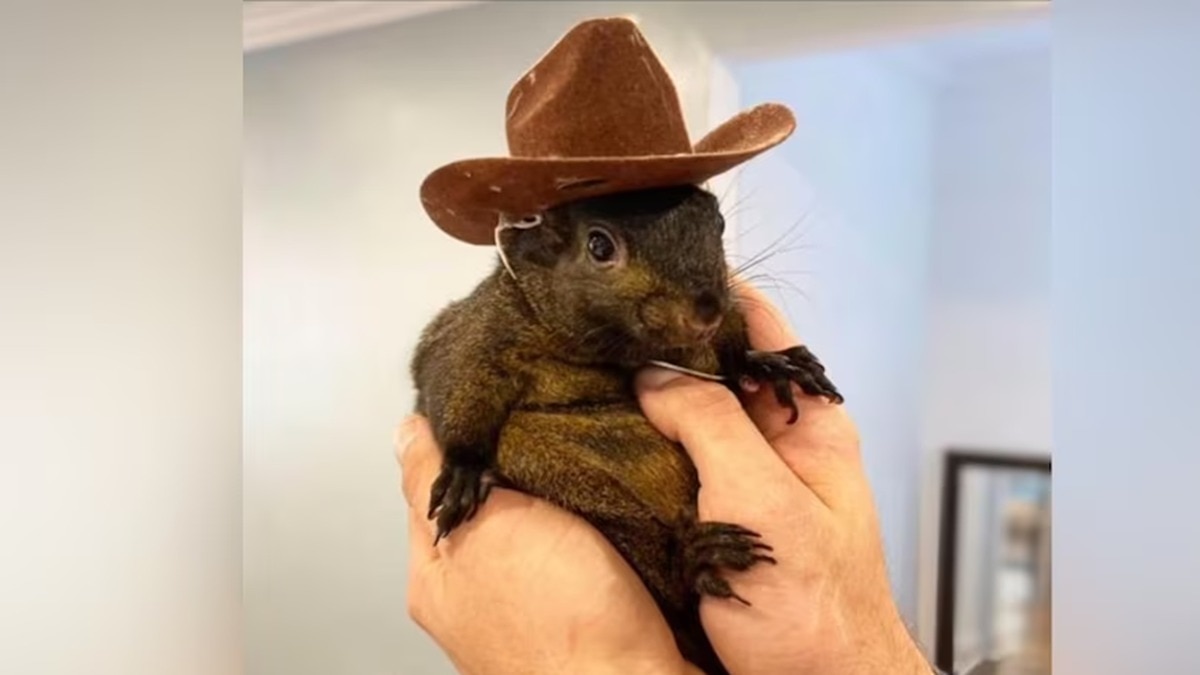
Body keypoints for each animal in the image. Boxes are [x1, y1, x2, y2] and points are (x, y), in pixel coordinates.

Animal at [410, 184, 843, 675]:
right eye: (599, 246)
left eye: (717, 223)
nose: (706, 312)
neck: (614, 349)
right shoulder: (477, 333)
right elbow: (453, 380)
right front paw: (462, 471)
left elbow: (730, 358)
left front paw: (770, 364)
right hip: (549, 465)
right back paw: (692, 561)